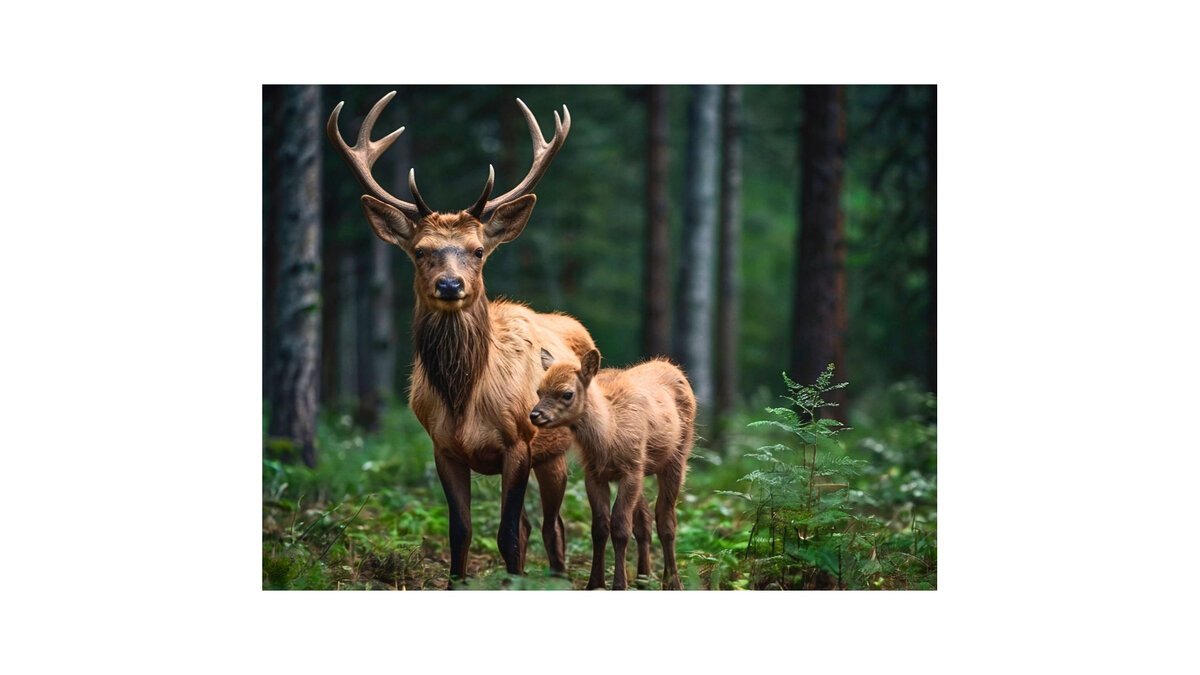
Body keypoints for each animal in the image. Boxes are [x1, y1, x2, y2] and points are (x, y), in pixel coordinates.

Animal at [328, 90, 595, 583]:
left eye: (478, 251)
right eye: (419, 251)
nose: (451, 285)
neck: (465, 398)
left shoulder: (519, 443)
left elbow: (507, 536)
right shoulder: (442, 448)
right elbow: (461, 533)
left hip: (555, 453)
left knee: (553, 528)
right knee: (532, 526)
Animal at [532, 348, 696, 586]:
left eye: (567, 393)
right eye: (539, 390)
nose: (535, 415)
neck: (610, 434)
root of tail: (670, 365)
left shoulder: (631, 469)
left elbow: (620, 527)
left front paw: (619, 584)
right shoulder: (594, 474)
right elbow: (600, 527)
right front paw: (595, 584)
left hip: (677, 456)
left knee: (666, 520)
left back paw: (672, 584)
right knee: (645, 520)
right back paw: (643, 579)